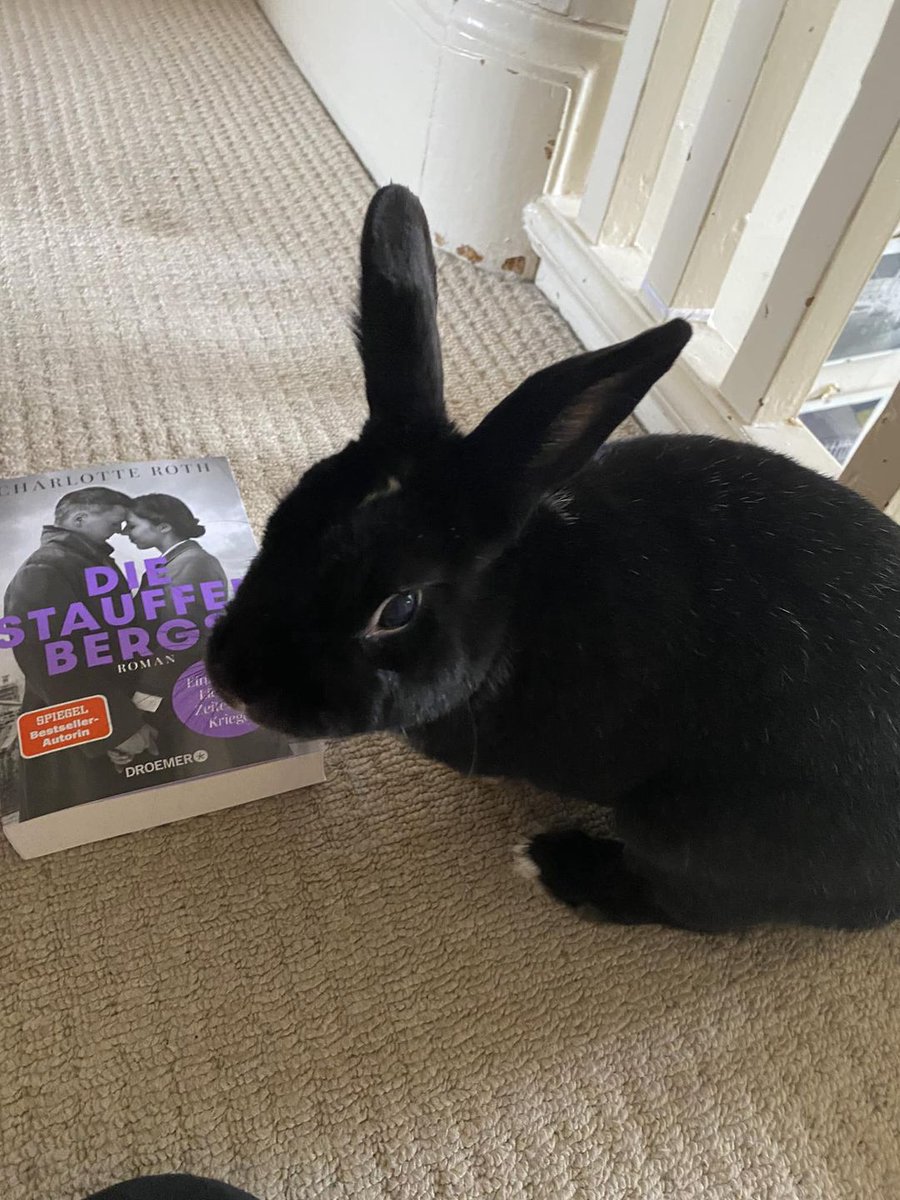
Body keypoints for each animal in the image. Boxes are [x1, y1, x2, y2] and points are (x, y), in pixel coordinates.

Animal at [206, 184, 900, 933]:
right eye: (283, 516)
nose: (234, 683)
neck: (520, 601)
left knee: (693, 908)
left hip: (695, 830)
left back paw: (551, 863)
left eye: (398, 608)